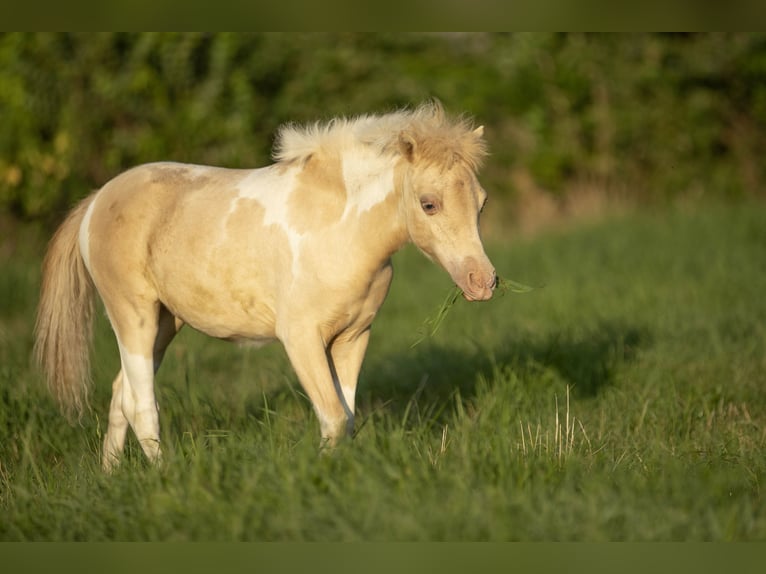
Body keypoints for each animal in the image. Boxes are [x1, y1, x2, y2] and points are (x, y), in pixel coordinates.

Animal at [34, 102, 498, 472]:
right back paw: (162, 477)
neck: (339, 229)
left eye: (482, 203)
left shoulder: (353, 338)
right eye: (429, 204)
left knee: (120, 395)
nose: (483, 282)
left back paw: (109, 477)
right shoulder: (301, 339)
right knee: (141, 405)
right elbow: (332, 417)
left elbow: (346, 416)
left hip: (166, 324)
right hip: (134, 317)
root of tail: (96, 201)